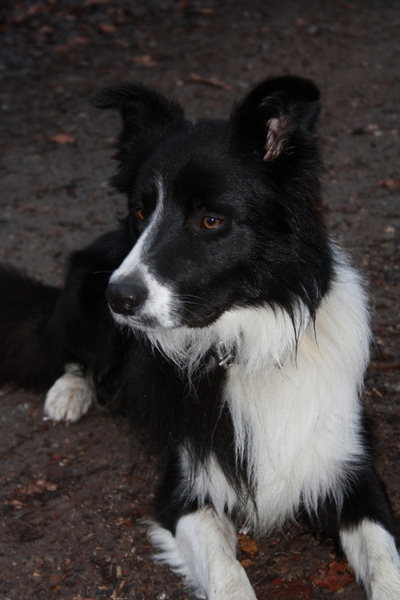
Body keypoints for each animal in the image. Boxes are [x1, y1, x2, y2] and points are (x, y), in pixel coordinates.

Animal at [0, 77, 400, 596]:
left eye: (210, 220)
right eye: (140, 211)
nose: (118, 298)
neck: (246, 342)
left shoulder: (353, 471)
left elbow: (385, 561)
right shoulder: (184, 491)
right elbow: (227, 572)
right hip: (83, 295)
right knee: (70, 354)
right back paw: (69, 392)